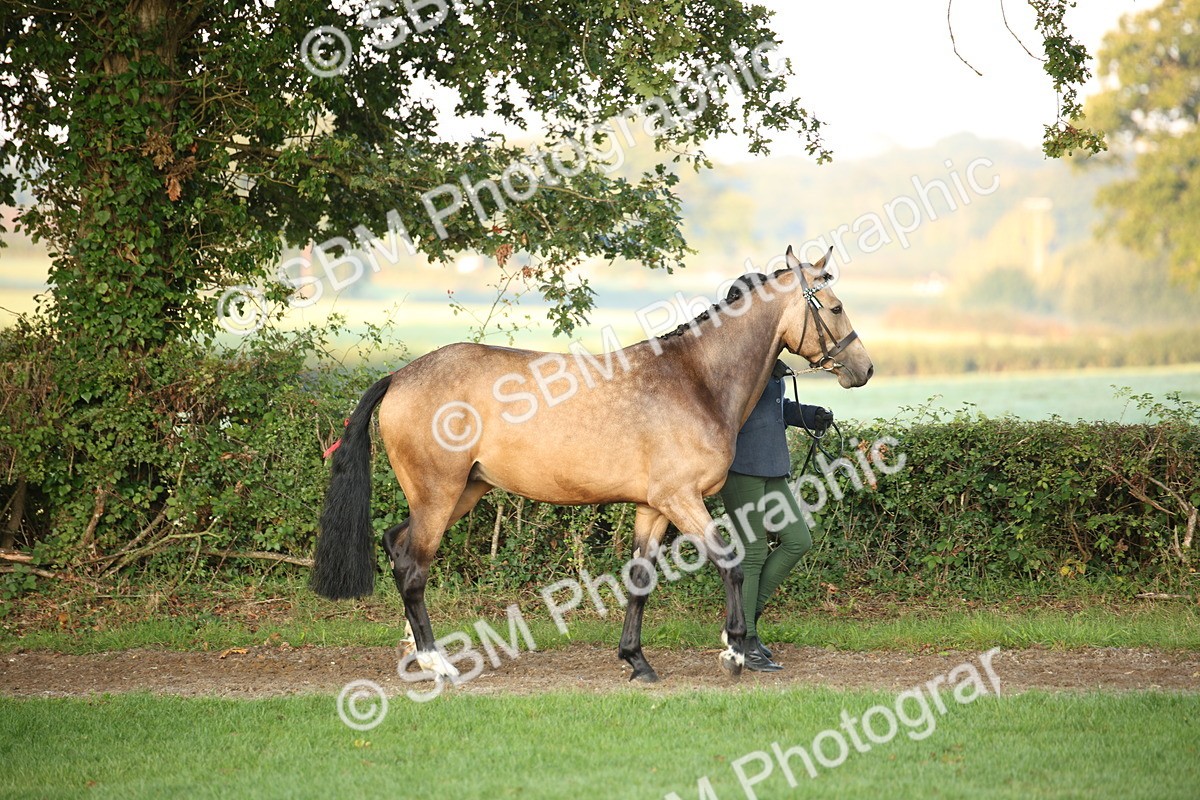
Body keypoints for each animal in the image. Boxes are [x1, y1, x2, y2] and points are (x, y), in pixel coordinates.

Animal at [311, 245, 873, 684]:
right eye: (836, 307)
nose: (864, 368)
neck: (694, 379)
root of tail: (400, 376)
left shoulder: (655, 507)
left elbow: (640, 579)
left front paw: (636, 660)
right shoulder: (682, 499)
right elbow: (730, 563)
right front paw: (734, 650)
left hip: (462, 493)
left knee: (397, 544)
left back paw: (413, 649)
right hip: (439, 495)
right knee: (413, 567)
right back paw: (437, 662)